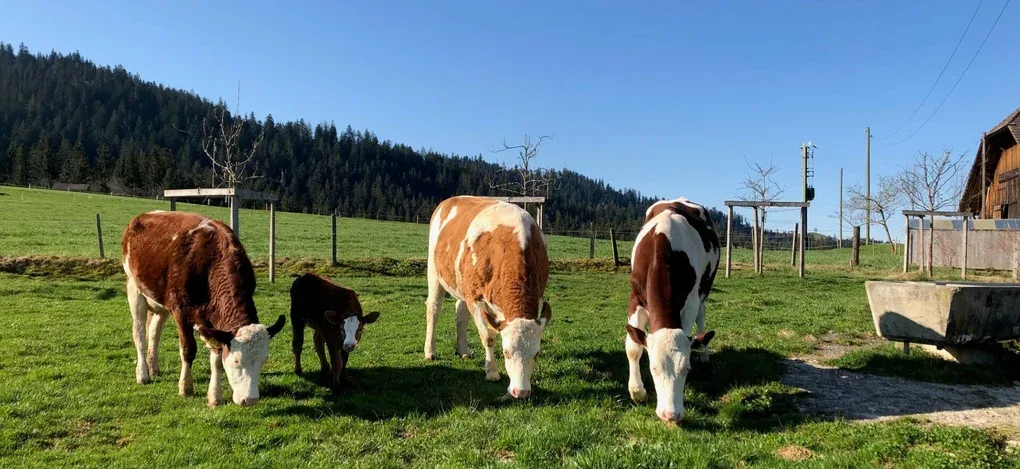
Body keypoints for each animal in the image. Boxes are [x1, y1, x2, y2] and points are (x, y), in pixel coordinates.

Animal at [121, 211, 285, 407]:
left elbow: (217, 357)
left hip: (160, 301)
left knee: (154, 331)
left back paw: (153, 367)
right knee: (139, 334)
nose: (251, 400)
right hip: (134, 288)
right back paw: (143, 374)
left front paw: (215, 397)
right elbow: (188, 349)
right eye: (236, 360)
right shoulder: (180, 311)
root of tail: (143, 215)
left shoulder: (215, 321)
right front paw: (186, 388)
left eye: (263, 360)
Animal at [424, 196, 552, 399]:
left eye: (537, 354)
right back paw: (430, 352)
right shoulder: (475, 298)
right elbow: (488, 336)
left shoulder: (538, 297)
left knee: (461, 314)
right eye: (506, 353)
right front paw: (492, 371)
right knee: (433, 310)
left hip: (462, 284)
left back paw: (463, 351)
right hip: (435, 271)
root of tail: (451, 199)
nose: (521, 392)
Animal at [625, 198, 720, 422]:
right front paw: (637, 391)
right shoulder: (635, 297)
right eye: (653, 368)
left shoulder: (691, 301)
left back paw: (704, 355)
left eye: (686, 369)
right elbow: (633, 347)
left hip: (704, 290)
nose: (670, 414)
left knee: (702, 319)